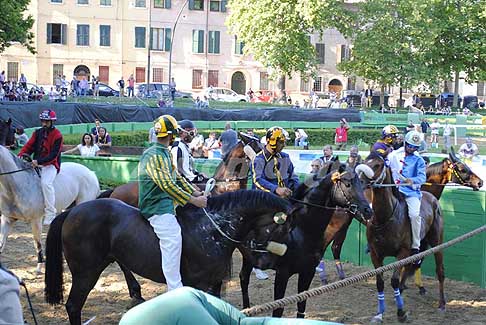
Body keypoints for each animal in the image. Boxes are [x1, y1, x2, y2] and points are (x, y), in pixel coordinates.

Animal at [0, 117, 100, 272]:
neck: (16, 184)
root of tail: (91, 173)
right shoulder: (7, 219)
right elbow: (1, 244)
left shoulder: (35, 220)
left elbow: (37, 243)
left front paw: (39, 267)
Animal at [46, 190, 292, 324]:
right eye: (282, 229)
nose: (266, 263)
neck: (211, 227)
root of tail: (73, 211)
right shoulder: (199, 284)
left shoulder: (214, 284)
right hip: (85, 274)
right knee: (73, 306)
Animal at [238, 162, 372, 316]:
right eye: (348, 184)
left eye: (360, 183)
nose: (368, 210)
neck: (301, 230)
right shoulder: (282, 273)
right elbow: (278, 309)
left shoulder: (308, 272)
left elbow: (301, 307)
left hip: (248, 257)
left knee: (243, 278)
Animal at [318, 147, 480, 284]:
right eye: (462, 169)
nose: (480, 182)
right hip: (337, 222)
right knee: (325, 244)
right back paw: (323, 276)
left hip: (345, 222)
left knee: (336, 247)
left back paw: (341, 276)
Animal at [356, 152, 446, 322]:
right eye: (364, 160)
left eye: (377, 165)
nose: (360, 181)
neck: (385, 218)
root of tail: (432, 198)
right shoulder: (375, 254)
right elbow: (380, 282)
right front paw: (380, 313)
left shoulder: (402, 252)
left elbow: (394, 280)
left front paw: (401, 312)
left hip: (437, 243)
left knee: (440, 271)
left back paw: (442, 303)